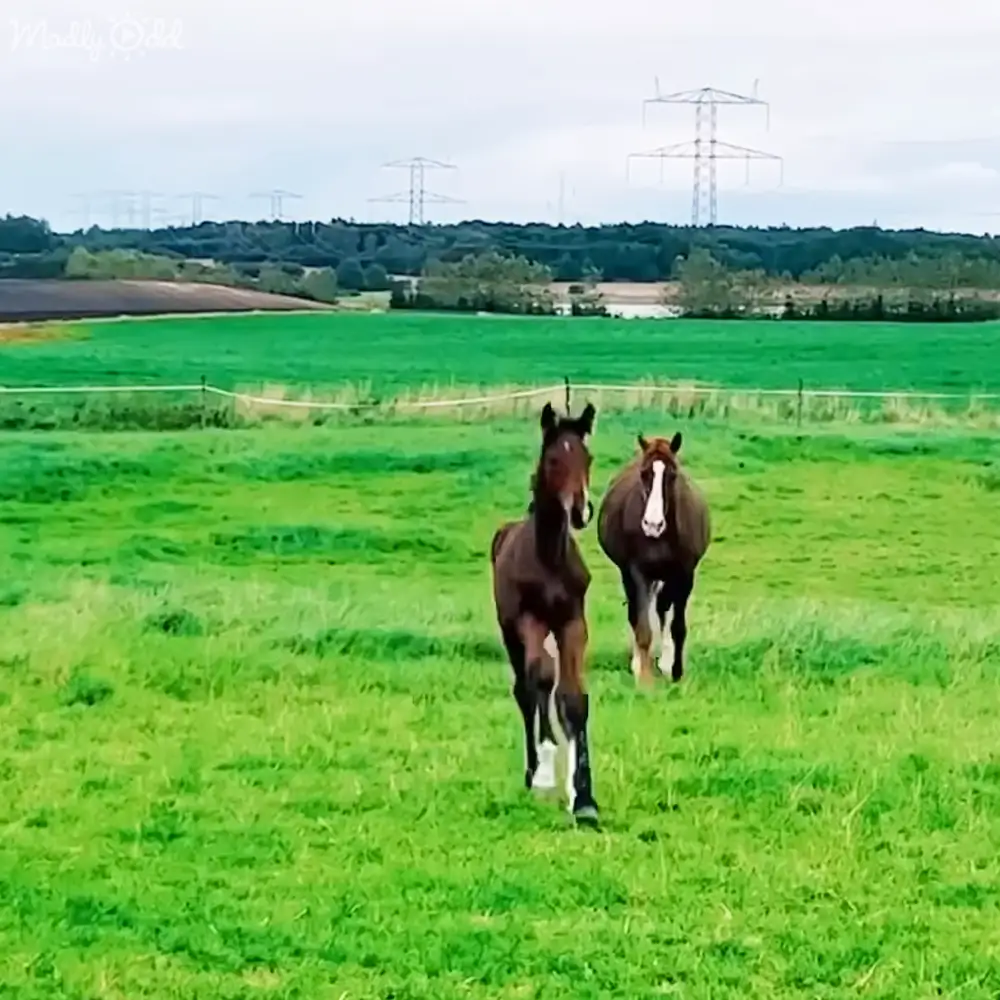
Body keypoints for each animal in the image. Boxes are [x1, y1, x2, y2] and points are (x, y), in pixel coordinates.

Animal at [489, 401, 600, 826]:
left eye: (587, 457)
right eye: (553, 459)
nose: (582, 510)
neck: (550, 557)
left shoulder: (573, 622)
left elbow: (573, 696)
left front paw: (584, 798)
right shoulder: (530, 622)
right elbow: (541, 679)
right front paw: (548, 774)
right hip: (509, 631)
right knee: (526, 689)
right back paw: (532, 770)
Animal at [597, 431, 710, 686]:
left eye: (673, 474)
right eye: (644, 473)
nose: (652, 524)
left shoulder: (684, 574)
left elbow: (677, 626)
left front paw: (676, 672)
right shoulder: (638, 572)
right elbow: (643, 627)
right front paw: (645, 678)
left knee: (661, 608)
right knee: (637, 612)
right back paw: (640, 663)